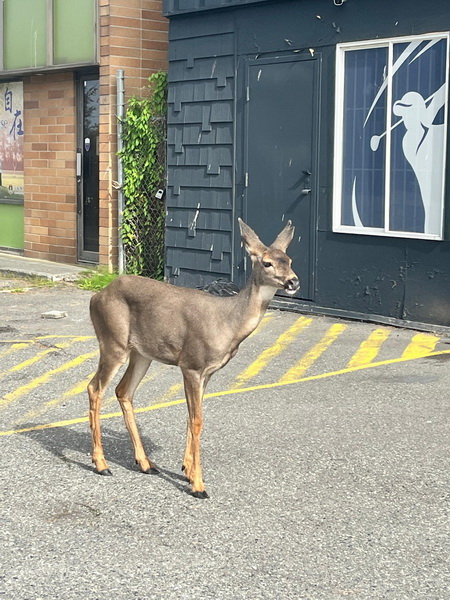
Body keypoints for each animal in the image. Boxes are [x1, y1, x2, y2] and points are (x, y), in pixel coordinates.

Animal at [87, 218, 298, 500]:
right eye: (267, 262)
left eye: (289, 260)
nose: (293, 282)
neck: (227, 322)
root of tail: (96, 296)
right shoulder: (192, 364)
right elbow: (197, 420)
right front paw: (198, 485)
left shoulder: (207, 372)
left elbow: (191, 417)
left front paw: (187, 470)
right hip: (113, 342)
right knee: (95, 387)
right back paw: (101, 464)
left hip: (141, 353)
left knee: (123, 391)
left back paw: (145, 463)